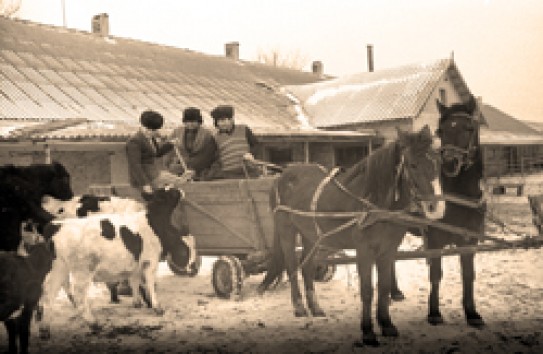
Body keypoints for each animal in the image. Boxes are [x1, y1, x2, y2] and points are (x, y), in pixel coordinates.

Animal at [38, 188, 196, 338]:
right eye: (170, 193)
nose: (180, 190)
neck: (152, 222)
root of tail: (56, 225)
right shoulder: (150, 261)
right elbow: (150, 284)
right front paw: (157, 307)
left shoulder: (136, 262)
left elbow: (134, 281)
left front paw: (137, 302)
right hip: (82, 270)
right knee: (78, 295)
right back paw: (93, 323)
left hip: (59, 267)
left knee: (49, 293)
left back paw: (45, 329)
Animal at [260, 124, 446, 346]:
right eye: (412, 164)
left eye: (438, 161)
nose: (436, 207)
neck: (375, 205)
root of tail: (281, 175)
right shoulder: (364, 251)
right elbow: (367, 291)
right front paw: (367, 332)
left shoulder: (388, 251)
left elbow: (384, 288)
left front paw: (387, 325)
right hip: (287, 231)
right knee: (291, 266)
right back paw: (299, 307)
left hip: (311, 235)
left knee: (307, 267)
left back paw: (316, 308)